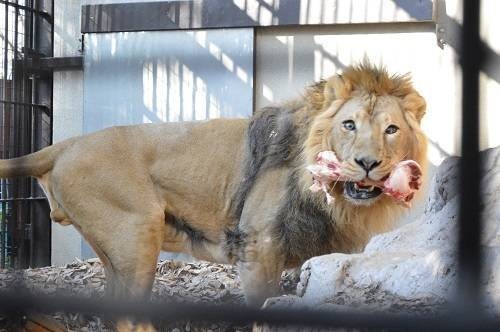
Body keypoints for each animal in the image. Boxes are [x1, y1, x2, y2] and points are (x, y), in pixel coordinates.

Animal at [0, 61, 426, 308]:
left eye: (391, 130)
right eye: (349, 125)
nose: (367, 164)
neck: (332, 201)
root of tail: (66, 144)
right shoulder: (258, 249)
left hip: (115, 249)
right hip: (137, 233)